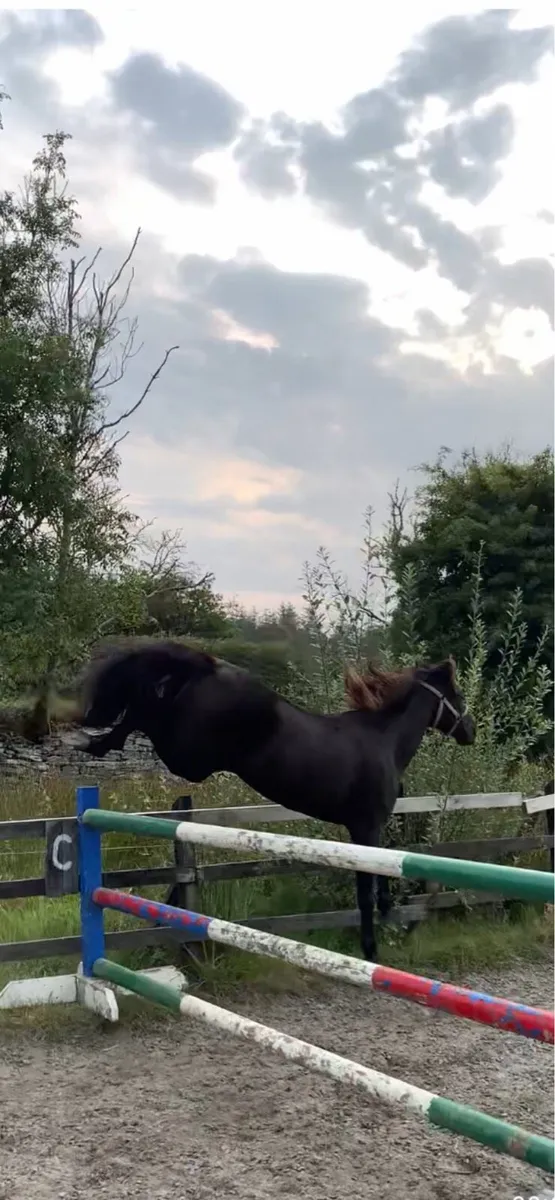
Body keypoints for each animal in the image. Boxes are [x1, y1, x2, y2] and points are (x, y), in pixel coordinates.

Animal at [74, 640, 476, 961]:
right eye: (457, 694)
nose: (470, 731)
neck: (384, 741)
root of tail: (211, 666)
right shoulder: (366, 827)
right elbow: (366, 886)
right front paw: (371, 948)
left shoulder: (367, 829)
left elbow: (384, 867)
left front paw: (387, 910)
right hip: (190, 757)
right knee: (144, 713)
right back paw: (95, 742)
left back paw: (95, 741)